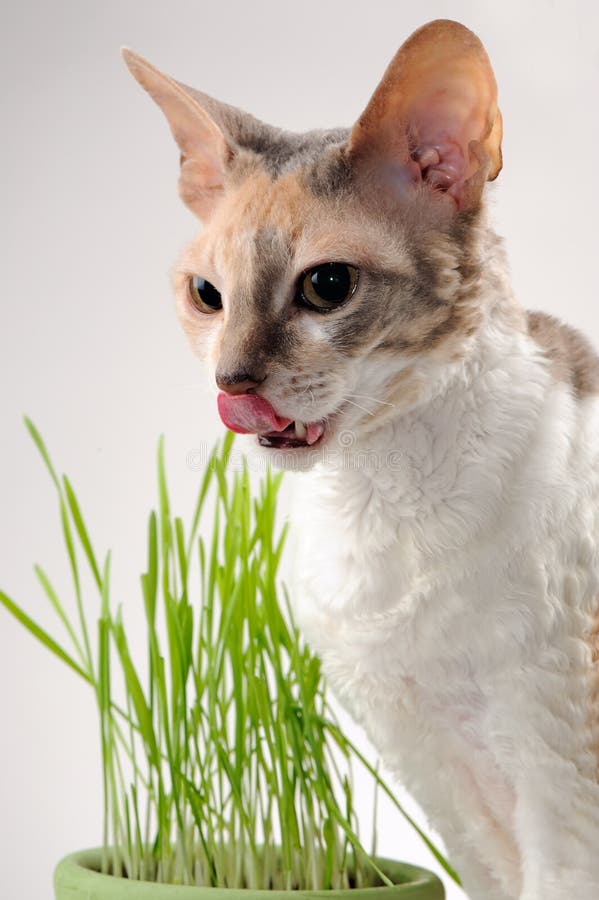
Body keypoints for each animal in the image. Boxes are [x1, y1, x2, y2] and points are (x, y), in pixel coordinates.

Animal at [122, 21, 599, 900]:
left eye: (327, 285)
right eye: (207, 296)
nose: (231, 384)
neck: (383, 506)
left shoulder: (557, 759)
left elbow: (557, 871)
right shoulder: (431, 765)